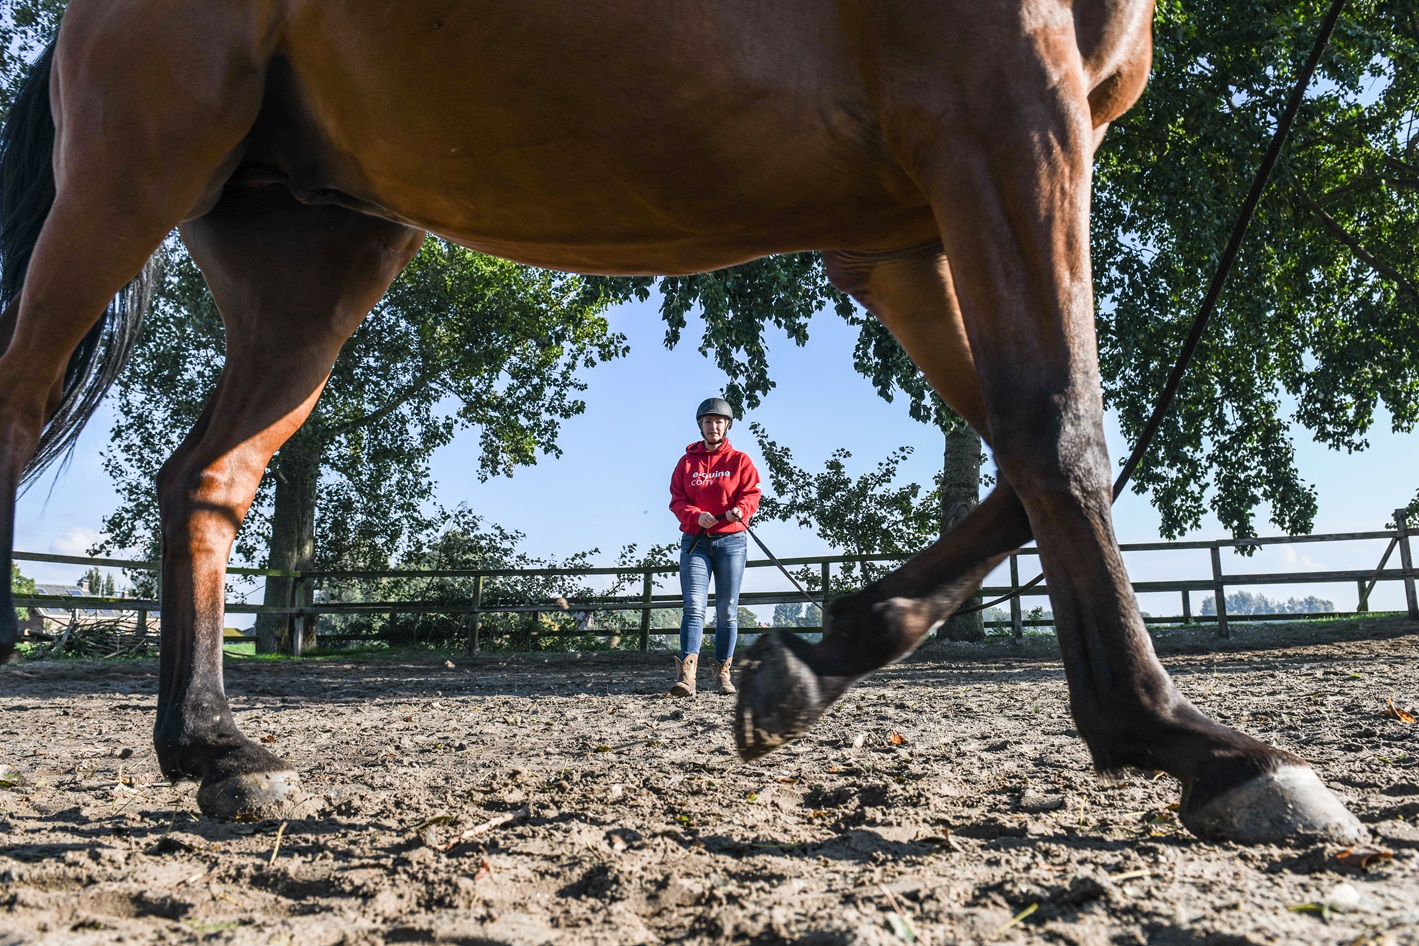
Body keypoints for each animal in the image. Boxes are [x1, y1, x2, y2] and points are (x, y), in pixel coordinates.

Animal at [0, 0, 1364, 843]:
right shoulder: (1007, 124)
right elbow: (1060, 428)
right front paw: (1205, 747)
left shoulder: (902, 231)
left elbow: (1019, 460)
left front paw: (805, 668)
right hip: (131, 178)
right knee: (21, 409)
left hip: (309, 257)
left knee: (206, 479)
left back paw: (219, 750)